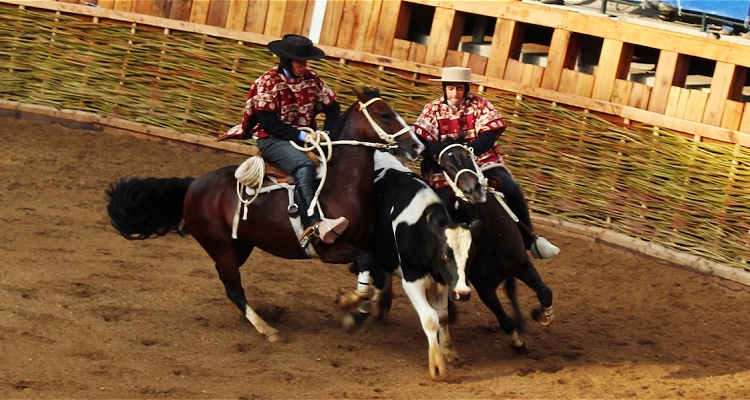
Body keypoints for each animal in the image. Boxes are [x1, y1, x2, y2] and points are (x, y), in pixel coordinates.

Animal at [106, 89, 426, 342]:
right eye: (384, 115)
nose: (417, 145)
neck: (338, 186)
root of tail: (193, 184)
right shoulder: (330, 250)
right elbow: (367, 264)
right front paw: (351, 304)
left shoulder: (363, 246)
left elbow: (378, 275)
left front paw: (359, 312)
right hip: (221, 247)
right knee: (233, 288)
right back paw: (266, 329)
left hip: (241, 245)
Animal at [346, 151, 482, 378]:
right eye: (445, 254)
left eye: (471, 255)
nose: (463, 293)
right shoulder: (412, 282)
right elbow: (430, 319)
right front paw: (436, 363)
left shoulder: (444, 282)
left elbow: (443, 316)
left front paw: (448, 349)